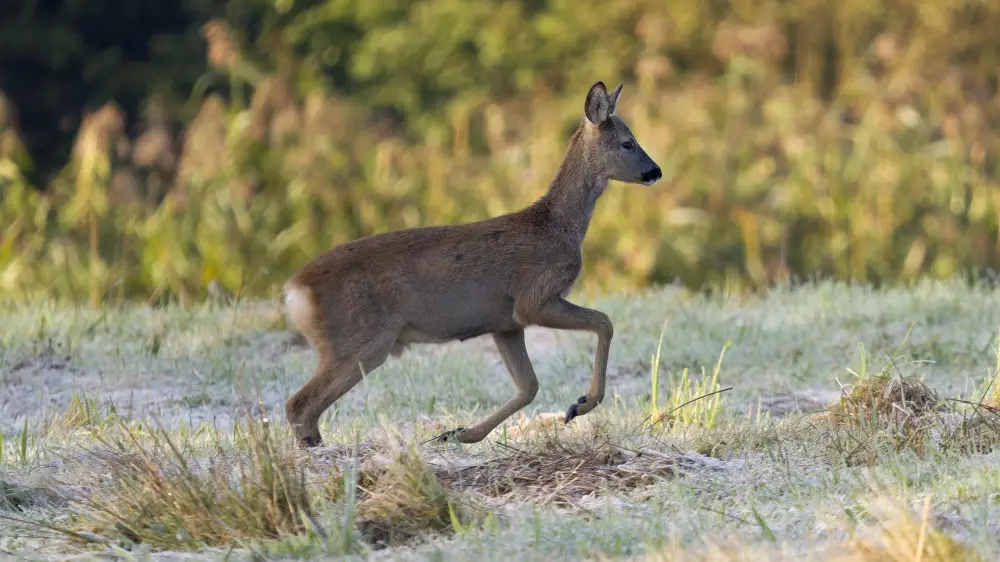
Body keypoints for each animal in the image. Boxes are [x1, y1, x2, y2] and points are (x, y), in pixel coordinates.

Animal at [278, 80, 660, 446]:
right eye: (627, 143)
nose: (655, 171)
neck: (555, 227)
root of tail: (295, 289)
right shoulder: (534, 298)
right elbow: (604, 322)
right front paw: (580, 404)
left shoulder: (505, 323)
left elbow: (528, 386)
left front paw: (460, 433)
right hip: (361, 340)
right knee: (299, 403)